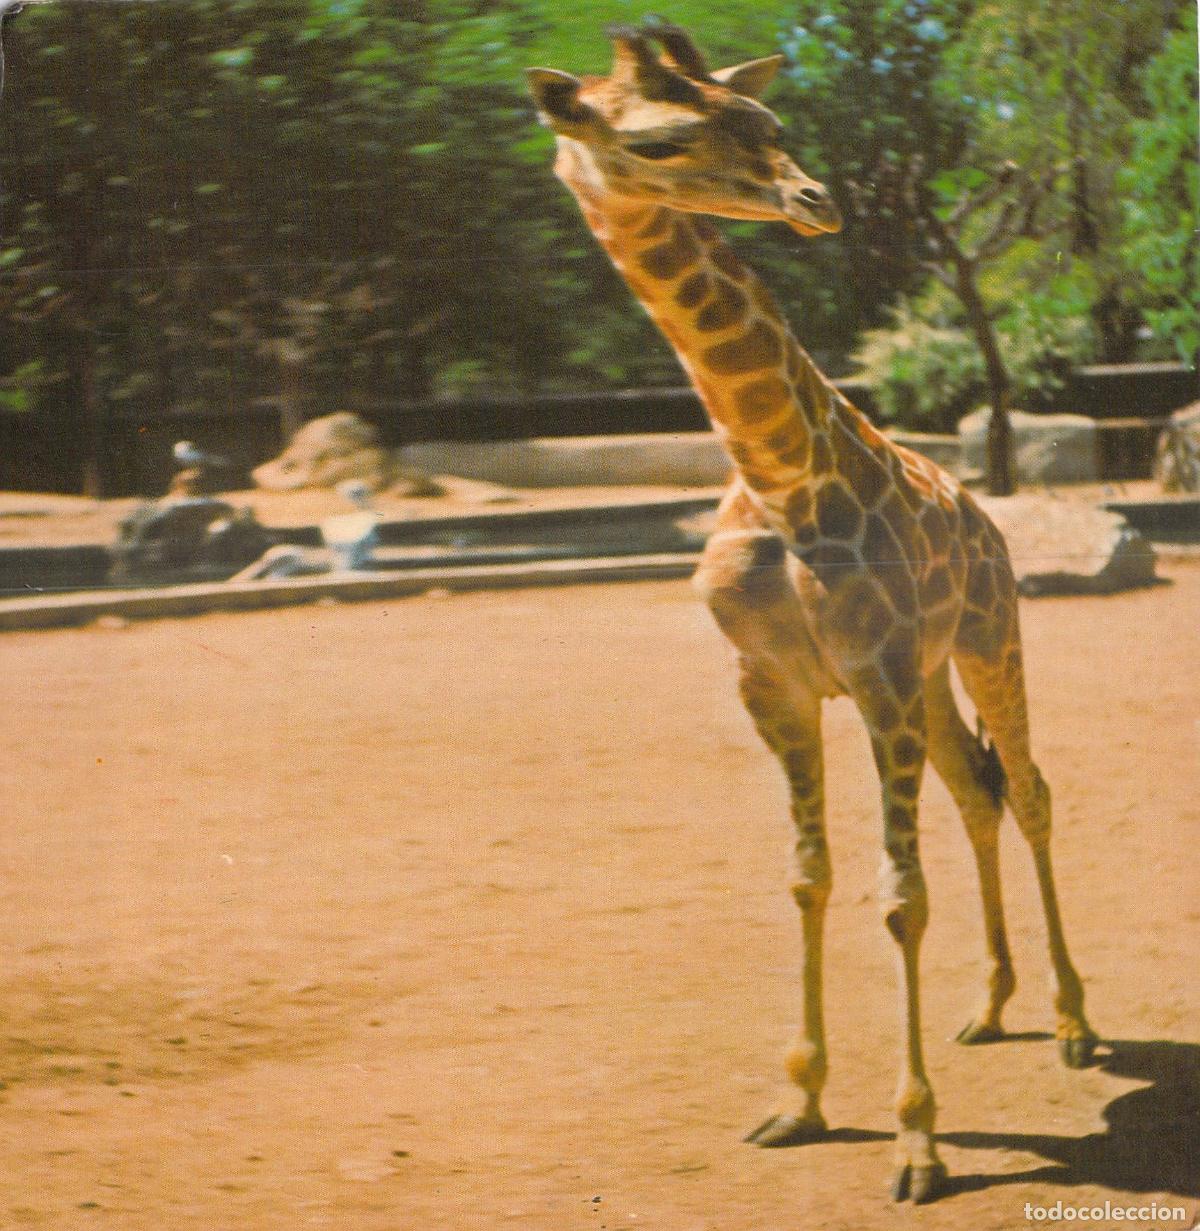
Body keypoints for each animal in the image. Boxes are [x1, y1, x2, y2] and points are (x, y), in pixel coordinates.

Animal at [527, 22, 1097, 1203]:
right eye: (656, 140)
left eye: (767, 120)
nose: (811, 198)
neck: (780, 476)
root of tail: (983, 510)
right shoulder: (777, 686)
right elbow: (808, 878)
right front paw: (798, 1102)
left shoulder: (873, 674)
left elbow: (899, 896)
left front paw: (918, 1142)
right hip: (930, 674)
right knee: (977, 793)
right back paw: (991, 1006)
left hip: (986, 636)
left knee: (1027, 790)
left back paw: (1073, 1021)